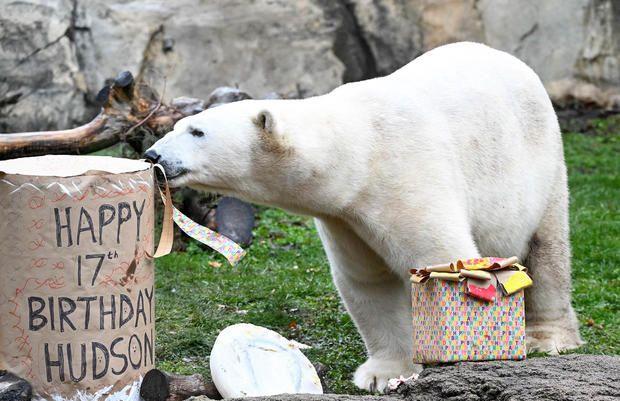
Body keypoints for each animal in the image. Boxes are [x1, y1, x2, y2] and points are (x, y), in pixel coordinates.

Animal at [145, 43, 580, 390]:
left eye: (198, 132)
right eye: (180, 124)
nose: (153, 154)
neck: (360, 152)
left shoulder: (406, 175)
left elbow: (442, 260)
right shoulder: (344, 216)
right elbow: (369, 282)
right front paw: (385, 374)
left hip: (540, 159)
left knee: (547, 248)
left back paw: (548, 336)